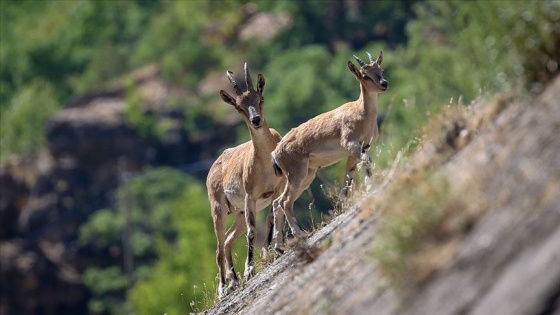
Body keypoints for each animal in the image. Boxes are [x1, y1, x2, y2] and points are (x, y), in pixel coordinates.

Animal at [206, 63, 284, 300]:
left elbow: (271, 217)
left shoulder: (276, 190)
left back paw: (234, 280)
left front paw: (270, 252)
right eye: (239, 108)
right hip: (219, 208)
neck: (265, 162)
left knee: (229, 239)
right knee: (219, 246)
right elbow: (252, 232)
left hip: (239, 213)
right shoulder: (251, 197)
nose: (256, 120)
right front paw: (250, 270)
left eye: (261, 98)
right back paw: (223, 289)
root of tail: (213, 168)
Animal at [272, 52, 390, 249]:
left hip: (307, 175)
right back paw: (300, 234)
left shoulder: (357, 150)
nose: (384, 84)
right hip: (297, 173)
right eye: (364, 75)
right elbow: (367, 160)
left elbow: (350, 174)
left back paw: (280, 245)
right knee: (284, 201)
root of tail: (275, 154)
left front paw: (342, 205)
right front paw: (370, 185)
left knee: (276, 202)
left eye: (380, 69)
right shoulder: (351, 144)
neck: (362, 113)